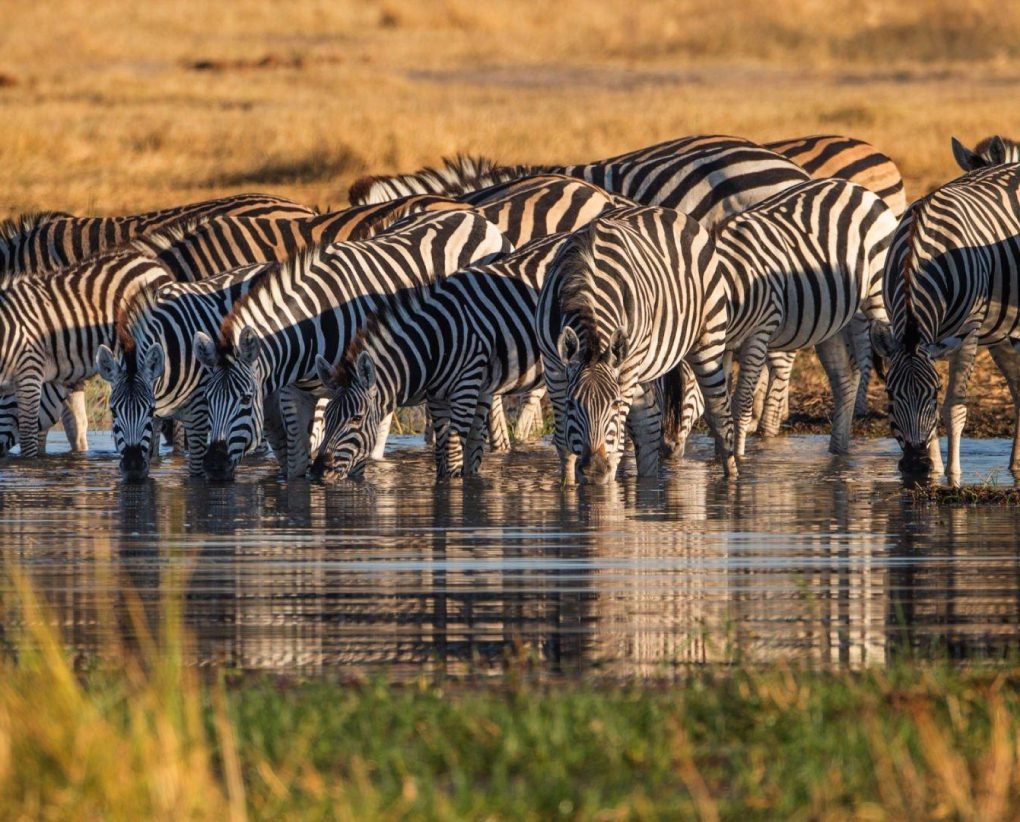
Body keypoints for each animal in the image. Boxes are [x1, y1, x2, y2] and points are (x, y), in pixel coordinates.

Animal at [191, 208, 510, 483]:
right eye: (207, 399)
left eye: (246, 399)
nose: (214, 466)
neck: (308, 331)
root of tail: (474, 216)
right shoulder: (294, 394)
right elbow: (297, 466)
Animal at [310, 231, 567, 483]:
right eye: (327, 419)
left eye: (356, 418)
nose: (318, 471)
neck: (436, 342)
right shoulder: (436, 396)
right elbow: (442, 456)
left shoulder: (465, 386)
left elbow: (452, 453)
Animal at [534, 206, 734, 485]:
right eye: (573, 404)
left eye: (615, 404)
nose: (594, 470)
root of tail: (668, 210)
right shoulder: (553, 365)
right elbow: (564, 445)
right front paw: (569, 487)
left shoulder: (625, 370)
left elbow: (616, 447)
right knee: (647, 429)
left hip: (707, 340)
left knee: (720, 416)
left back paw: (732, 479)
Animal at [869, 162, 1020, 483]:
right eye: (889, 393)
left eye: (934, 392)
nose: (915, 465)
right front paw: (935, 470)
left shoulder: (969, 330)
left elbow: (954, 408)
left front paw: (953, 475)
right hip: (1001, 327)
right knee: (1018, 386)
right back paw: (1015, 463)